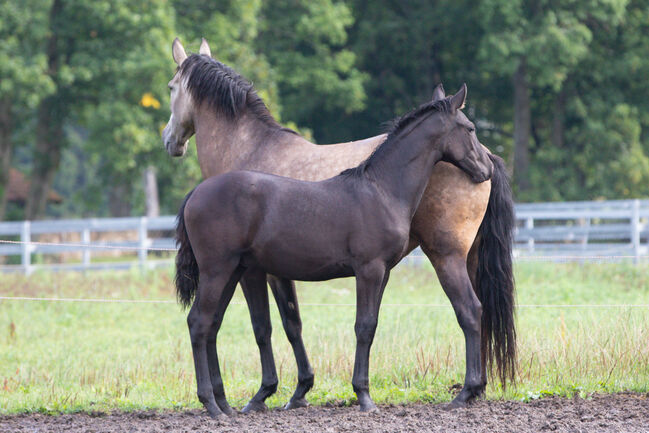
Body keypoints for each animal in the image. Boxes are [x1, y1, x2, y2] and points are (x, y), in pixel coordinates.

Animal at [163, 38, 516, 412]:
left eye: (172, 87)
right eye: (470, 128)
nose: (484, 170)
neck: (380, 187)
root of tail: (196, 193)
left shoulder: (377, 271)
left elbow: (358, 325)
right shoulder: (366, 269)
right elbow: (349, 326)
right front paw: (360, 396)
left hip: (231, 270)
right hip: (221, 269)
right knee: (200, 322)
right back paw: (214, 405)